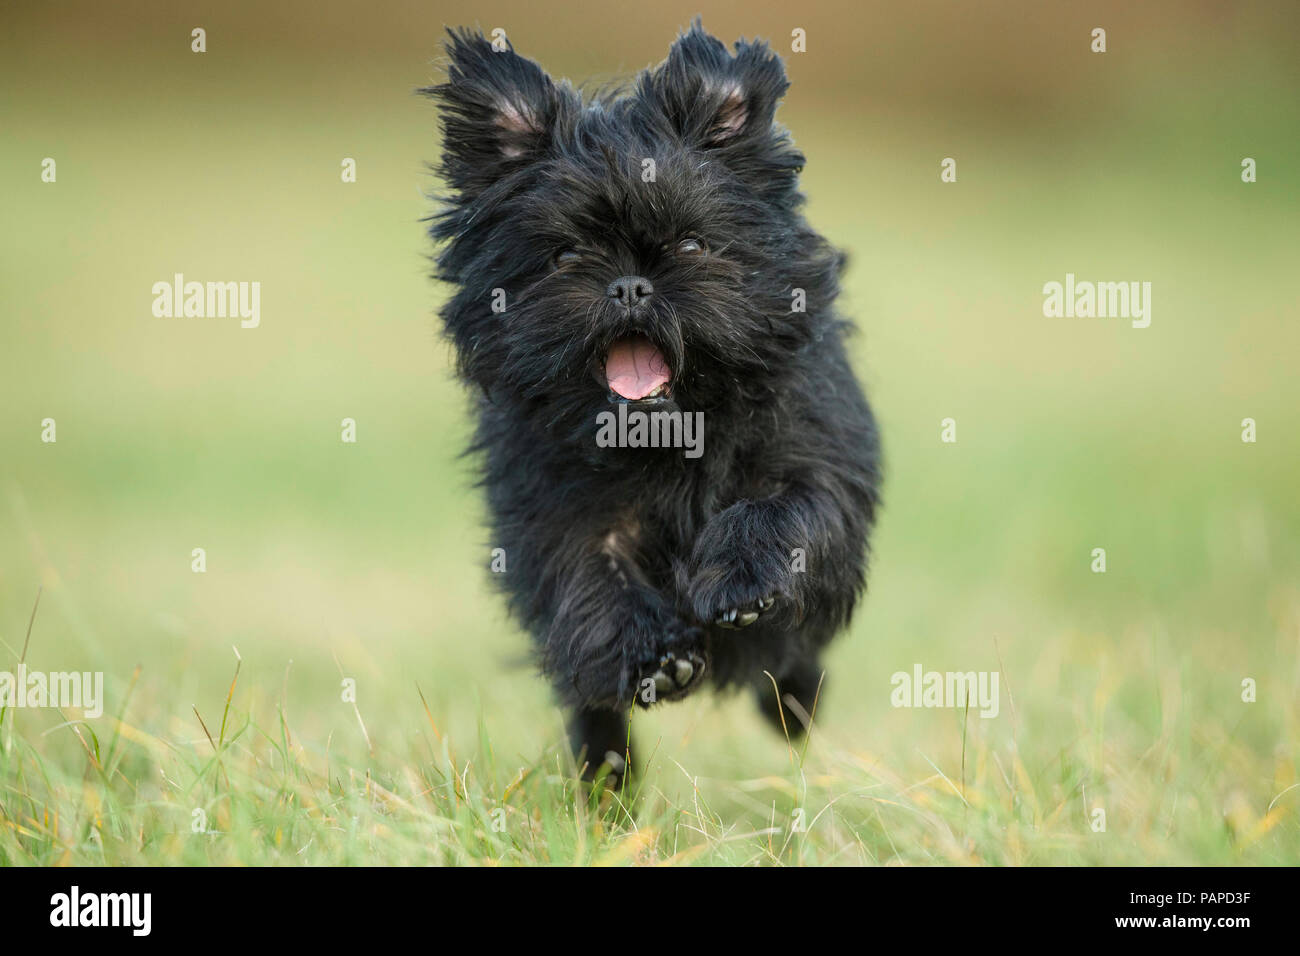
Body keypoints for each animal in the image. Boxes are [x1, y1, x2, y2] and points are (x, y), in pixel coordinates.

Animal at [426, 22, 883, 785]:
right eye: (564, 257)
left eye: (693, 244)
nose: (630, 285)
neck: (668, 438)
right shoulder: (553, 518)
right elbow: (590, 580)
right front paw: (654, 657)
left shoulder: (814, 464)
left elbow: (782, 510)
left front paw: (740, 580)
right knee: (592, 701)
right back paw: (606, 782)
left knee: (792, 664)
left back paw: (793, 707)